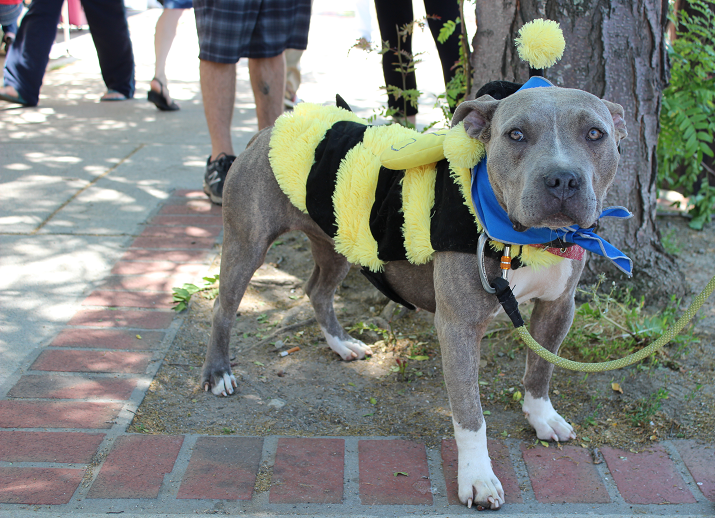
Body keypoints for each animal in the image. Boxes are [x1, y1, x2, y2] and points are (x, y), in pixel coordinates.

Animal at [200, 86, 628, 512]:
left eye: (595, 134)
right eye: (516, 135)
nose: (562, 178)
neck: (527, 238)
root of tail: (268, 130)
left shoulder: (558, 307)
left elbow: (541, 368)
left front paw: (541, 416)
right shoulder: (458, 326)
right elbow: (470, 413)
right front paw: (477, 478)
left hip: (337, 241)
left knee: (317, 290)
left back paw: (342, 344)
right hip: (247, 243)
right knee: (224, 307)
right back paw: (218, 373)